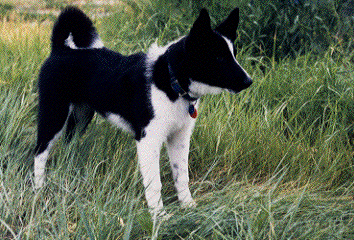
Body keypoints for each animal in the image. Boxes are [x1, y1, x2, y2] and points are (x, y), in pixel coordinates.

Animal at [34, 6, 252, 216]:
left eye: (233, 55)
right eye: (218, 57)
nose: (249, 81)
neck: (171, 81)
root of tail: (60, 50)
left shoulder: (180, 138)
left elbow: (181, 175)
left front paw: (188, 206)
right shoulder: (149, 140)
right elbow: (154, 184)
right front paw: (159, 216)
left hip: (81, 116)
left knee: (69, 143)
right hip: (54, 115)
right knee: (40, 152)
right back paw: (39, 189)